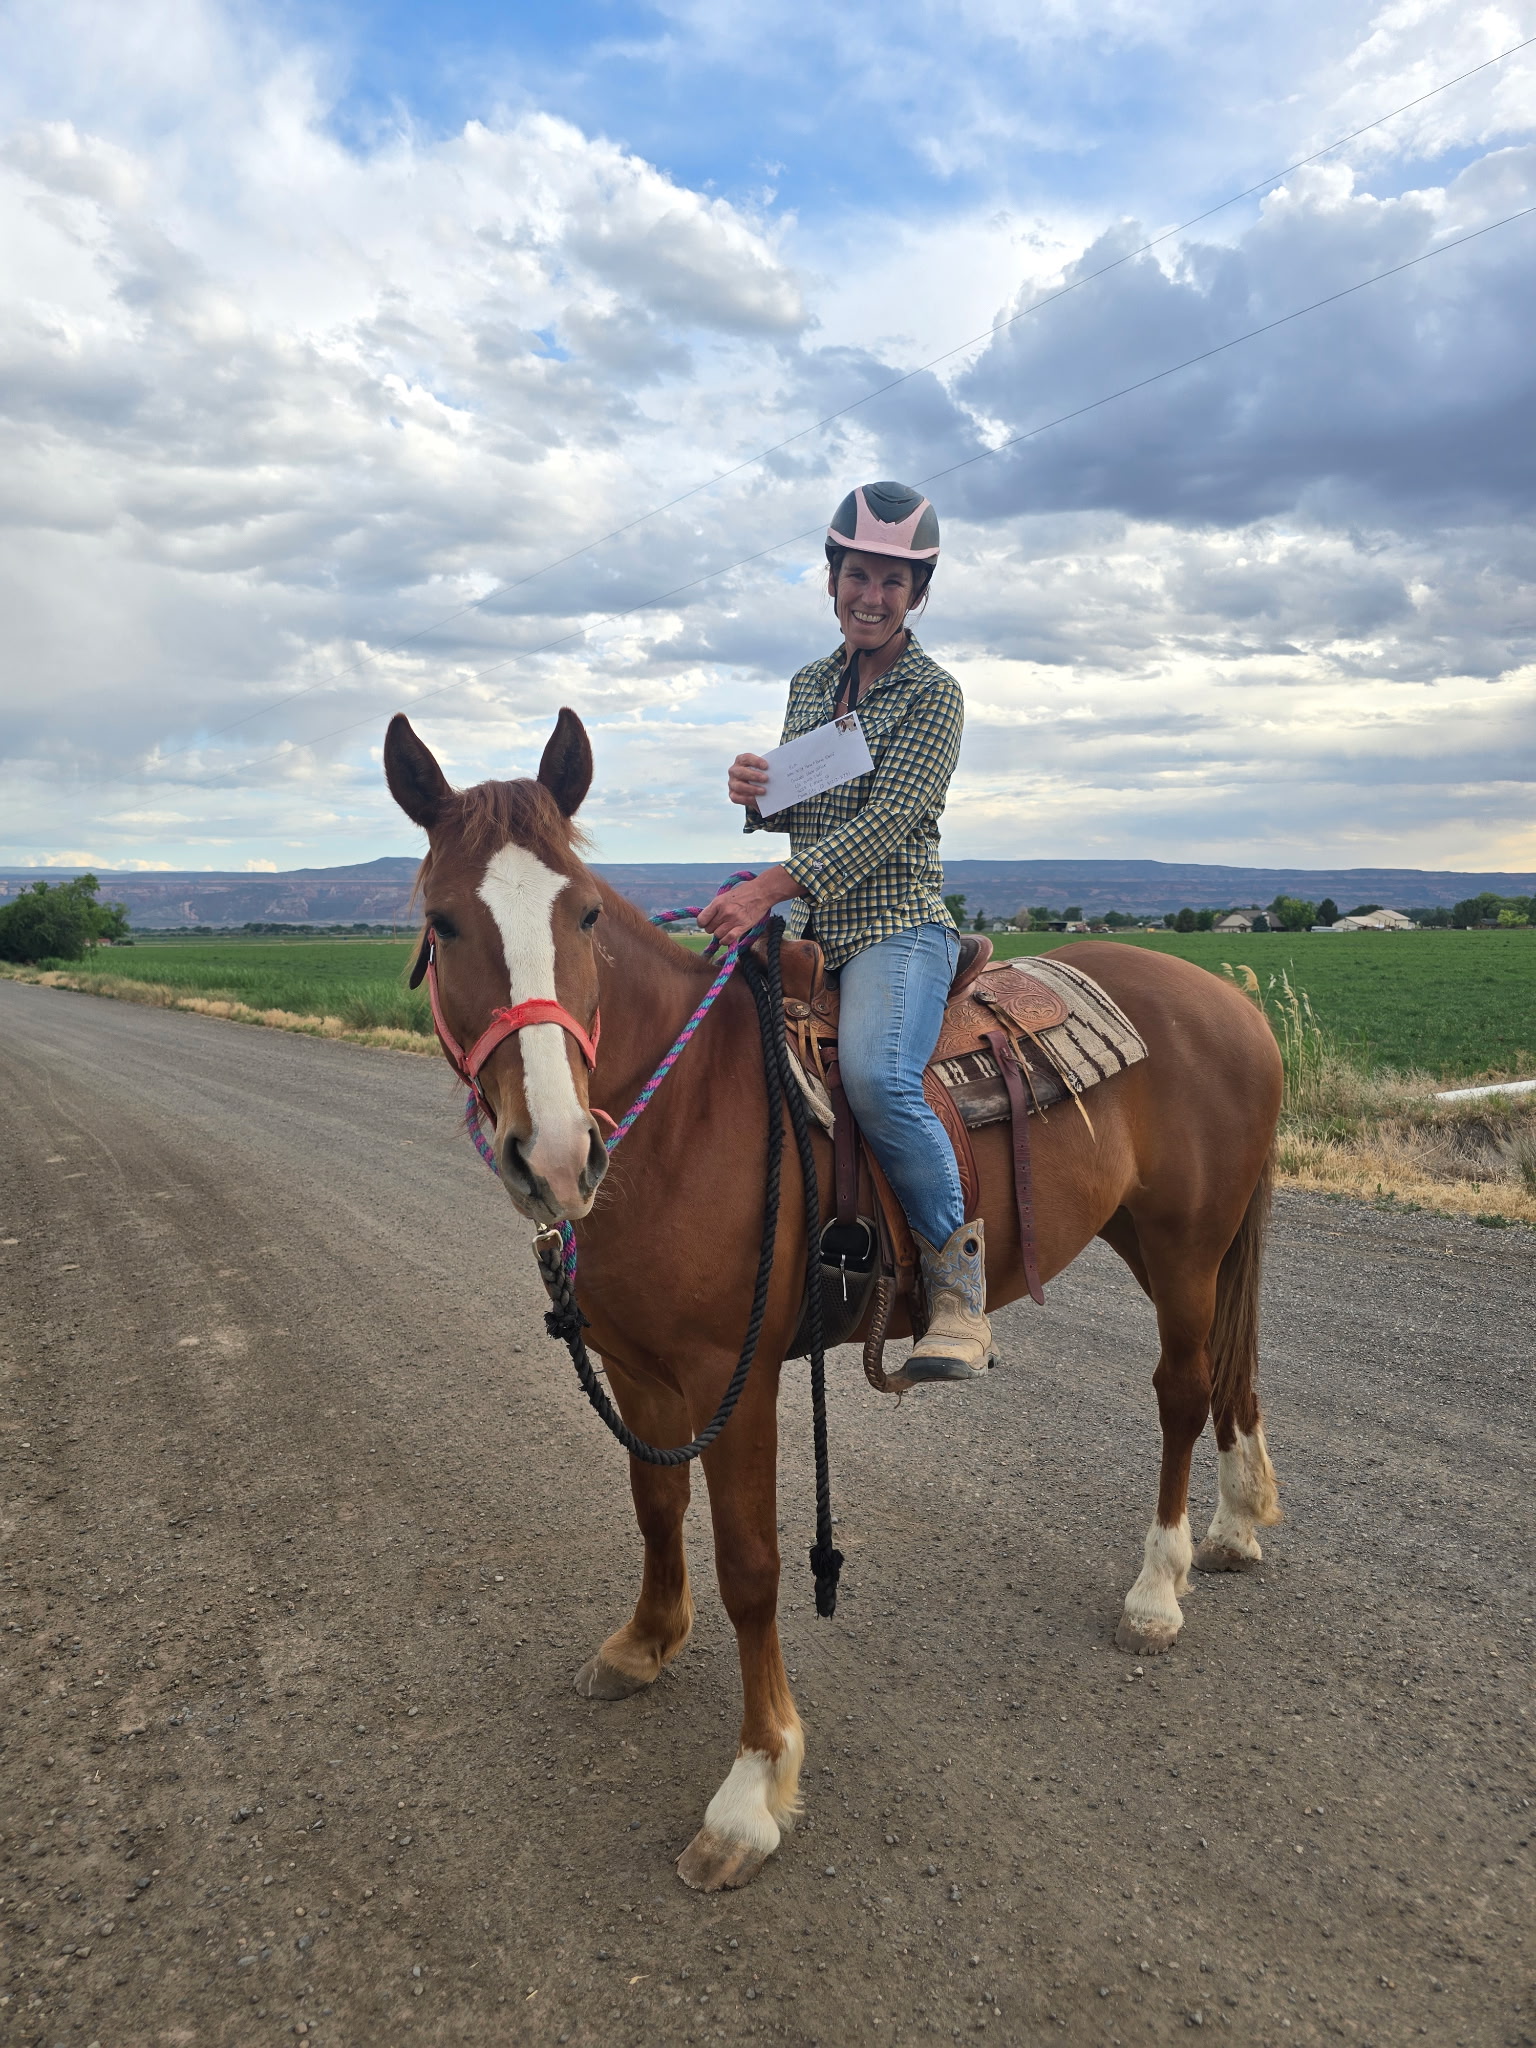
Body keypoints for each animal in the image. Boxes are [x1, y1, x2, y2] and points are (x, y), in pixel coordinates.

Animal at [383, 706, 1285, 1892]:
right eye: (442, 923)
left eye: (582, 911)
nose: (559, 1154)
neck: (686, 1113)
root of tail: (1232, 1000)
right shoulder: (638, 1364)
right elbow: (653, 1504)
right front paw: (644, 1640)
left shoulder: (735, 1378)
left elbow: (755, 1567)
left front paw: (752, 1789)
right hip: (1179, 1245)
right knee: (1229, 1375)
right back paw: (1234, 1525)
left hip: (1184, 1248)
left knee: (1182, 1390)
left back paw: (1158, 1589)